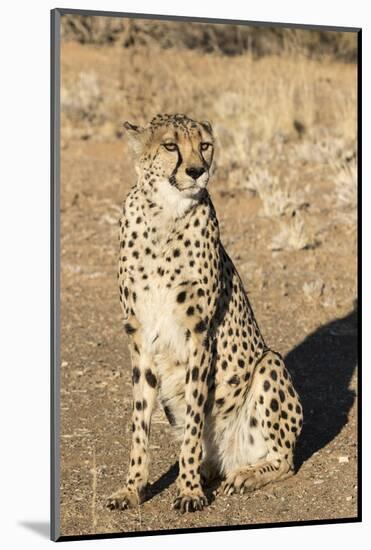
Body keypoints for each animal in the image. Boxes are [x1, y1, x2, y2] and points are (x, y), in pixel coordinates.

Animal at [106, 114, 304, 516]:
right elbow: (139, 421)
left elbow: (196, 415)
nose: (197, 171)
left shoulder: (199, 335)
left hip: (270, 363)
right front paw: (132, 488)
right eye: (170, 146)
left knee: (285, 460)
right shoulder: (140, 337)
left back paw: (245, 475)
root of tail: (226, 459)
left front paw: (188, 491)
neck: (165, 214)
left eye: (205, 145)